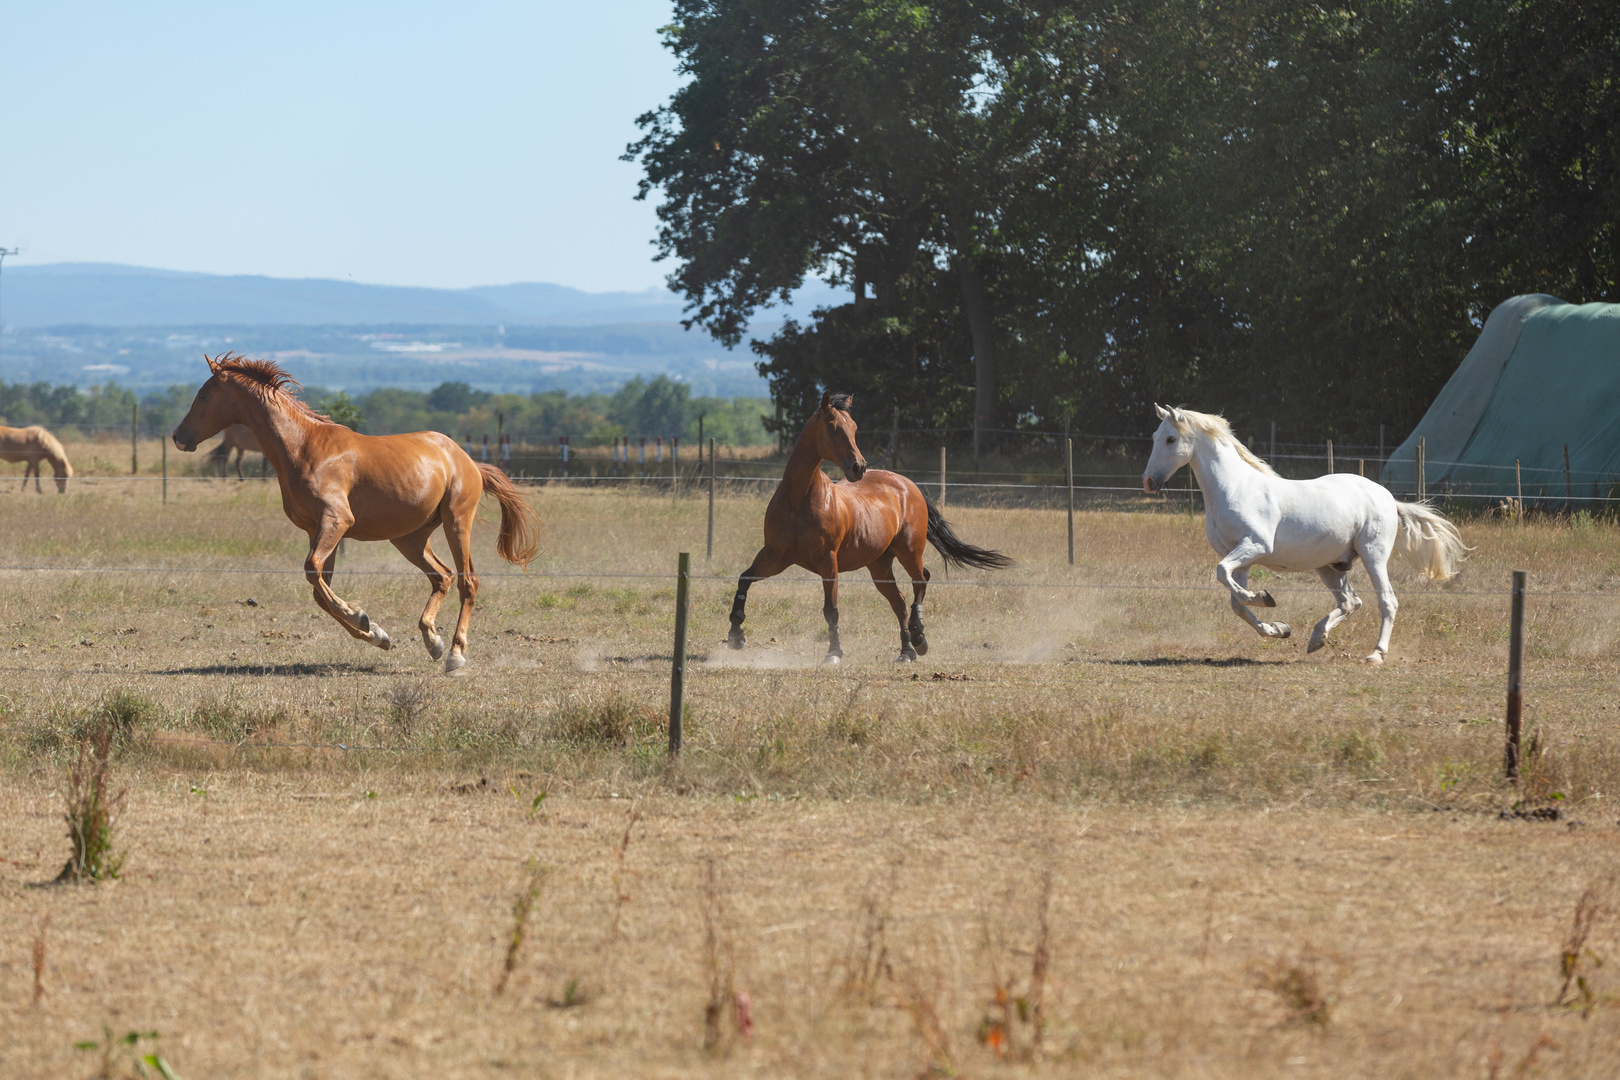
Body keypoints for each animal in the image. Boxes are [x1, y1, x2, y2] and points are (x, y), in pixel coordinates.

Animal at [170, 354, 541, 676]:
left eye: (203, 395)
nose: (177, 436)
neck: (303, 447)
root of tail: (467, 460)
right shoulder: (317, 530)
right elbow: (319, 590)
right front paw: (377, 634)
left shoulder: (336, 522)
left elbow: (313, 572)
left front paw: (362, 618)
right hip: (409, 538)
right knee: (443, 576)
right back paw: (432, 641)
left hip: (456, 522)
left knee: (467, 580)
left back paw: (454, 654)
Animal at [729, 393, 1004, 663]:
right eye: (832, 427)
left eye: (854, 427)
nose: (858, 467)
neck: (799, 500)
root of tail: (909, 485)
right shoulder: (775, 556)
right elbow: (745, 579)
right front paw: (735, 635)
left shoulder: (828, 561)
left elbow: (831, 609)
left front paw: (834, 653)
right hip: (879, 565)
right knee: (899, 602)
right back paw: (906, 652)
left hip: (909, 551)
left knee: (920, 580)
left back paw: (919, 637)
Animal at [1140, 403, 1470, 663]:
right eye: (1155, 437)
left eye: (1171, 439)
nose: (1148, 482)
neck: (1234, 488)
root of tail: (1387, 497)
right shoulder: (1241, 559)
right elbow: (1236, 603)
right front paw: (1278, 626)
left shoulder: (1255, 546)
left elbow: (1224, 576)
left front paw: (1263, 598)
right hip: (1331, 566)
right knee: (1350, 602)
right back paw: (1316, 639)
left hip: (1373, 556)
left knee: (1387, 601)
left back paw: (1376, 654)